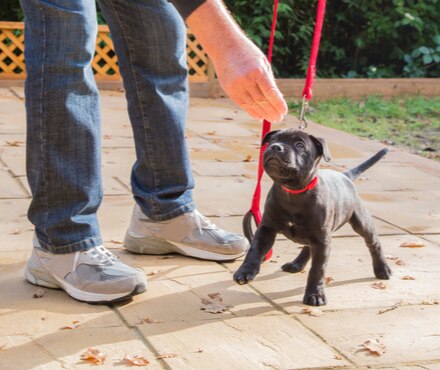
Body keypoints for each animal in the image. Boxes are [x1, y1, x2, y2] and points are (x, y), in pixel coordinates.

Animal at [234, 129, 392, 304]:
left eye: (299, 145)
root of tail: (345, 176)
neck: (293, 192)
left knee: (373, 243)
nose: (276, 147)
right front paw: (245, 271)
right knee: (307, 246)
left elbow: (317, 269)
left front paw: (315, 295)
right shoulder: (267, 228)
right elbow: (255, 249)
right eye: (273, 139)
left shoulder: (322, 240)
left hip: (360, 222)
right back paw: (296, 264)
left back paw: (382, 268)